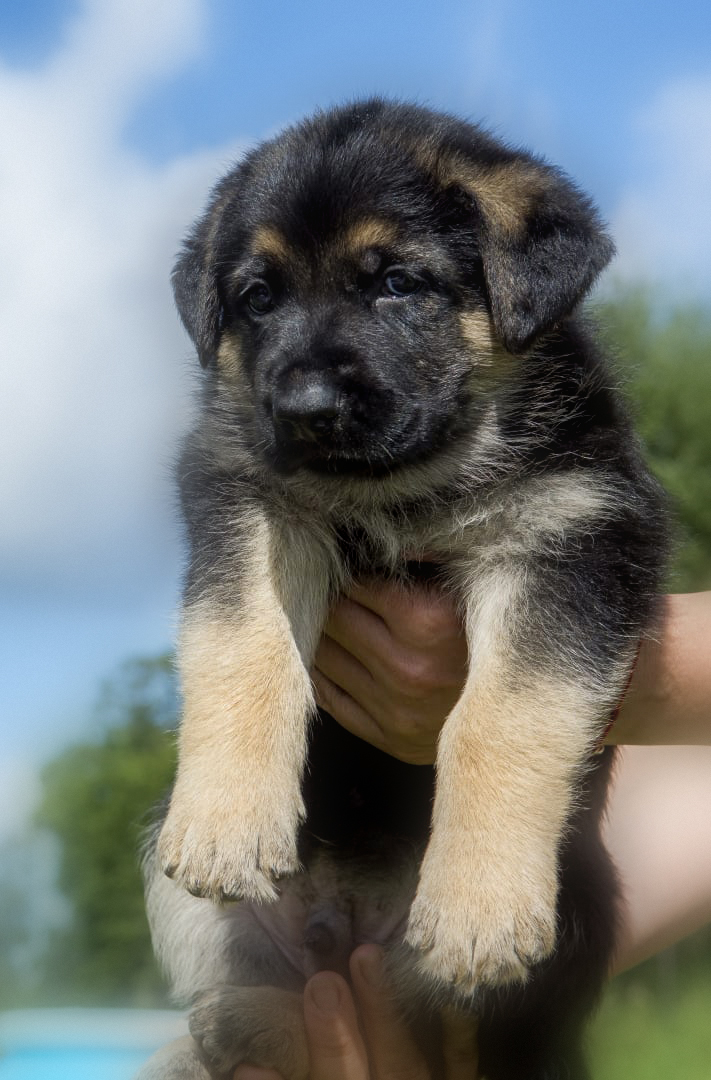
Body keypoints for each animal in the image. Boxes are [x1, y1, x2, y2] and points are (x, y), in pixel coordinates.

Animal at [142, 101, 665, 1080]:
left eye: (395, 283)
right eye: (257, 298)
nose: (303, 410)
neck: (403, 486)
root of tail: (350, 909)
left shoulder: (570, 539)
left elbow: (500, 718)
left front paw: (477, 906)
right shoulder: (248, 500)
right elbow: (245, 648)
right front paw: (226, 819)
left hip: (575, 904)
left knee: (437, 1047)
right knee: (317, 1016)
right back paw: (236, 1025)